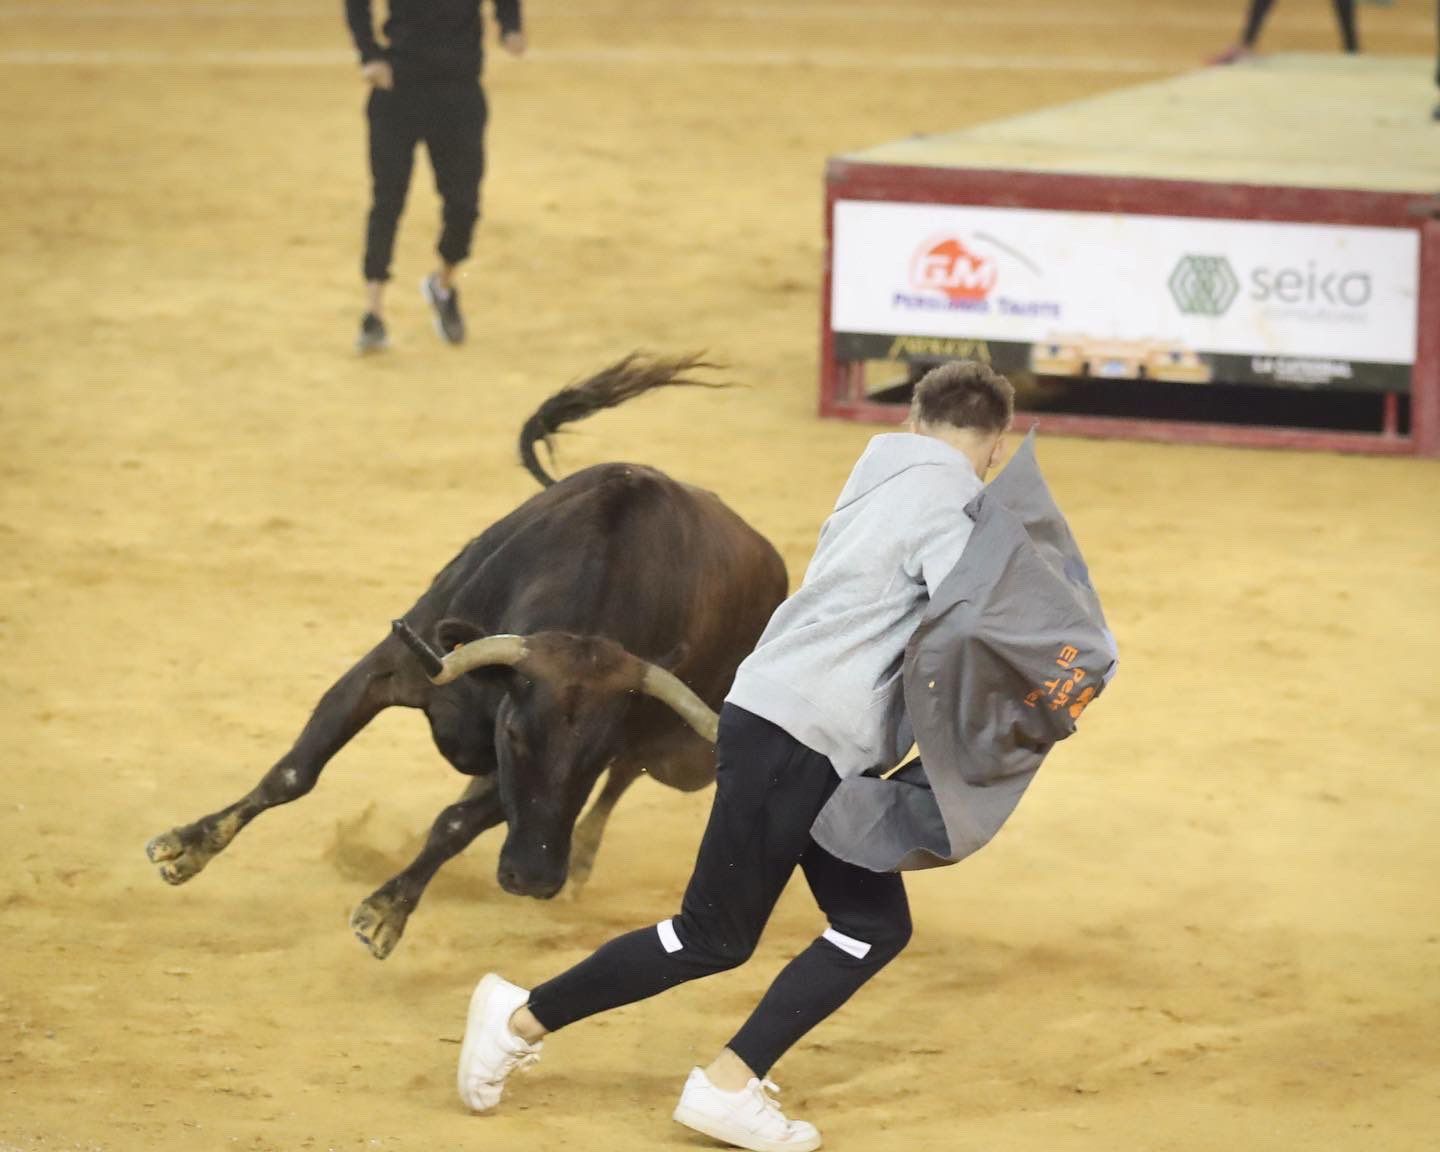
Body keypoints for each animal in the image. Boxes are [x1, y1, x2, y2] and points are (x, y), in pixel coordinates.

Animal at [146, 355, 789, 956]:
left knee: (626, 779)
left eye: (595, 750)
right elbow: (294, 771)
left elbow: (456, 823)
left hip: (684, 761)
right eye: (517, 735)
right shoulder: (390, 669)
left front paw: (386, 910)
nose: (533, 878)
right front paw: (187, 846)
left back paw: (581, 859)